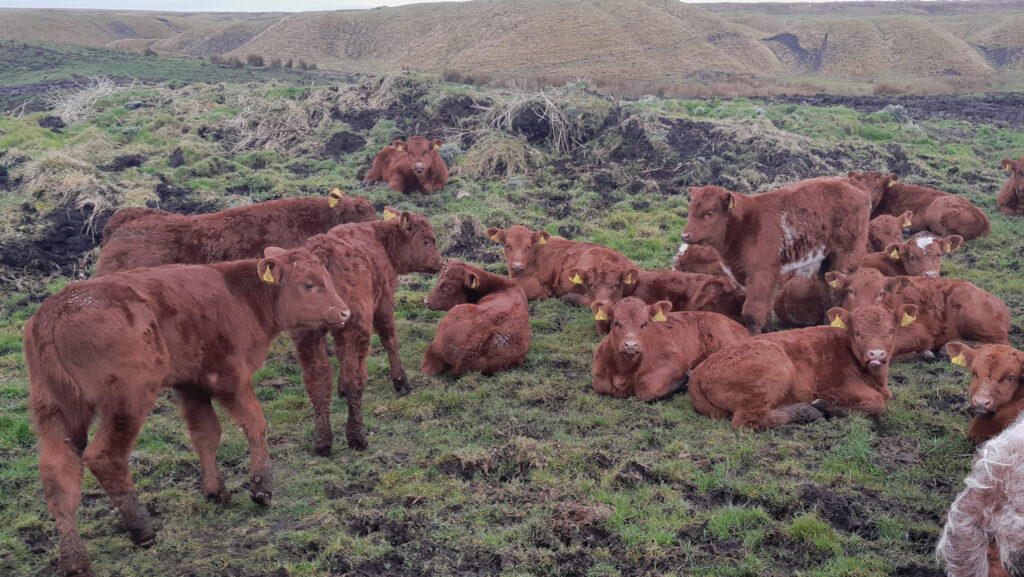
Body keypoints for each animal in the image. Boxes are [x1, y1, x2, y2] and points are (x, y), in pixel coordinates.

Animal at [25, 247, 350, 577]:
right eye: (309, 284)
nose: (344, 312)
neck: (240, 295)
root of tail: (54, 312)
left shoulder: (191, 385)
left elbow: (206, 433)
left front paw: (215, 489)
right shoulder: (229, 377)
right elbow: (255, 422)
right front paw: (261, 486)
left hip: (53, 411)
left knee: (58, 473)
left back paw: (75, 559)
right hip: (128, 401)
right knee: (105, 456)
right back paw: (141, 529)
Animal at [291, 208, 443, 455]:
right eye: (427, 240)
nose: (440, 262)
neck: (379, 241)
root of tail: (323, 251)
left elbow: (342, 358)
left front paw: (340, 388)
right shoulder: (384, 302)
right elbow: (390, 339)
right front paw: (401, 381)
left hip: (307, 337)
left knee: (317, 380)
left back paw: (323, 441)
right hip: (358, 325)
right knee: (356, 378)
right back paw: (357, 437)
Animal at [590, 298, 748, 402]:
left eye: (645, 323)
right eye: (616, 323)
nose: (631, 345)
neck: (624, 370)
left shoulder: (673, 360)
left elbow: (646, 389)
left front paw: (680, 381)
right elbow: (601, 386)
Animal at [681, 180, 870, 334]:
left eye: (709, 213)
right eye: (690, 210)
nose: (685, 235)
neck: (744, 225)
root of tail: (859, 191)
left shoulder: (761, 273)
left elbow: (752, 311)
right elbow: (764, 309)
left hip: (847, 254)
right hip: (826, 258)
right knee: (826, 288)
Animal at [689, 303, 919, 429]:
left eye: (891, 331)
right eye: (858, 332)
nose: (876, 354)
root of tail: (699, 371)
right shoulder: (838, 388)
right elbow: (877, 403)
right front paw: (824, 406)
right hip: (774, 369)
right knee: (748, 419)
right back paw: (806, 411)